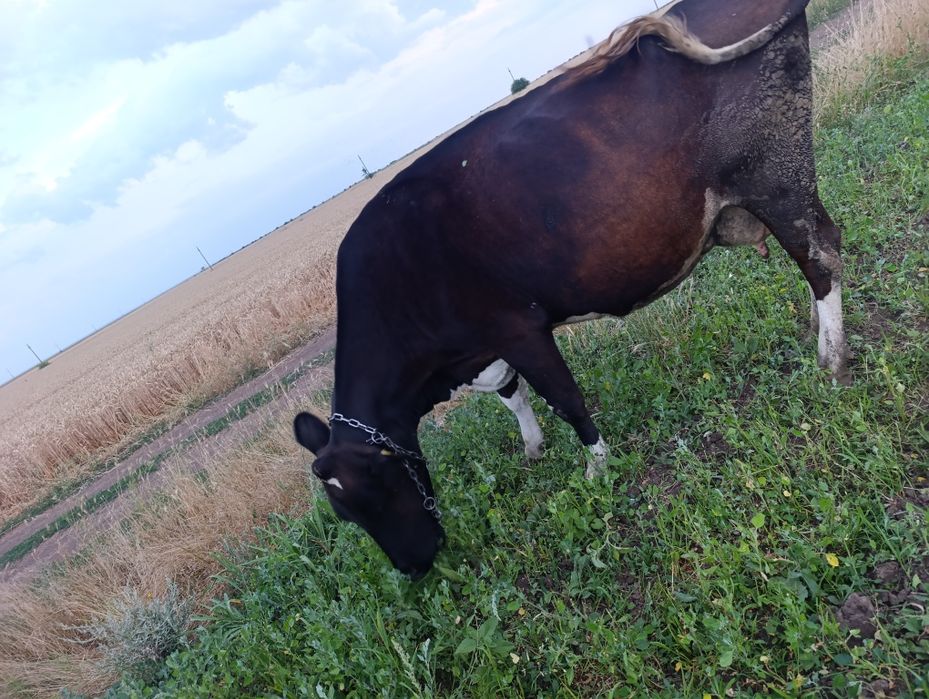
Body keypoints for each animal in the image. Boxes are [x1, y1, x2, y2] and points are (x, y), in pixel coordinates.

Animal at [293, 0, 851, 579]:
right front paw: (533, 448)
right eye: (345, 515)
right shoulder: (482, 347)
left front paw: (596, 466)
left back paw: (831, 359)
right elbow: (511, 393)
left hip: (776, 174)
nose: (414, 567)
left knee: (820, 254)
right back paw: (814, 332)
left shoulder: (517, 328)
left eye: (378, 488)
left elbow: (565, 399)